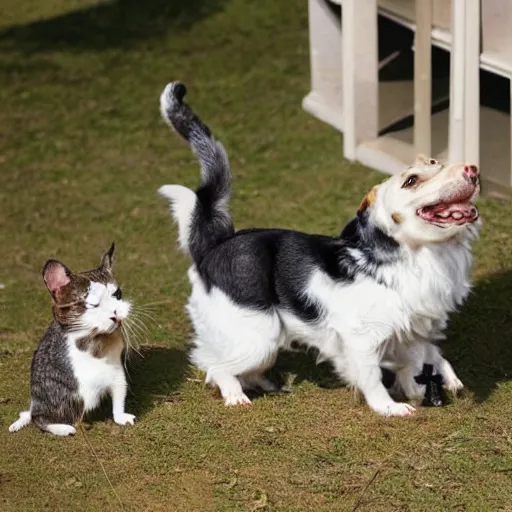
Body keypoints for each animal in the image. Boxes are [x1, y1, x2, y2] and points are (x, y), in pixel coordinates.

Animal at [9, 244, 136, 436]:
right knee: (39, 418)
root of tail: (33, 405)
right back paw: (63, 428)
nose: (115, 313)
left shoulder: (117, 374)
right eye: (93, 304)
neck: (97, 340)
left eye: (117, 294)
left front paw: (121, 418)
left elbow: (119, 398)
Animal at [159, 80, 480, 416]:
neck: (415, 257)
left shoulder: (411, 332)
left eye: (436, 163)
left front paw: (435, 385)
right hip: (259, 336)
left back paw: (265, 384)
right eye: (411, 180)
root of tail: (217, 244)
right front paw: (390, 408)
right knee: (215, 366)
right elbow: (374, 380)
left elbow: (428, 359)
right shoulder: (362, 341)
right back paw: (236, 396)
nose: (472, 170)